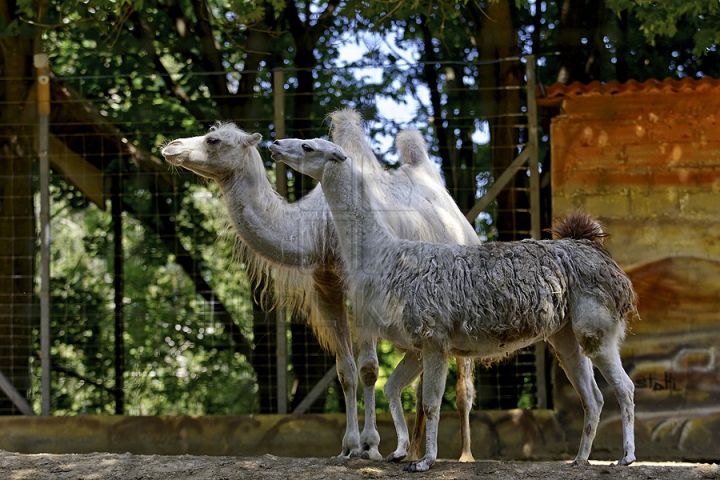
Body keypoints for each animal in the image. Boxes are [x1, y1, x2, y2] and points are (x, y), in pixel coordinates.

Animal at [160, 109, 480, 462]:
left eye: (213, 140)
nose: (171, 146)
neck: (320, 230)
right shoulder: (326, 288)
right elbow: (346, 372)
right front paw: (349, 446)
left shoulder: (363, 293)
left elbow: (369, 368)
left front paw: (370, 445)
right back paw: (411, 452)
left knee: (463, 381)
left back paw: (465, 455)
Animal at [268, 138, 636, 472]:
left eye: (308, 147)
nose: (274, 144)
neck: (386, 256)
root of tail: (598, 253)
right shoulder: (418, 345)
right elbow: (392, 388)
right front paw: (399, 452)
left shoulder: (434, 339)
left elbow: (430, 403)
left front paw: (424, 461)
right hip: (565, 336)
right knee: (593, 397)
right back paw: (580, 459)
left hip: (596, 330)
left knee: (625, 388)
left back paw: (626, 457)